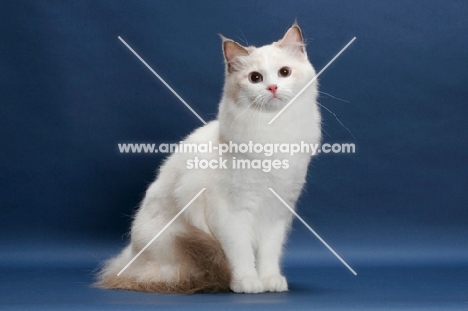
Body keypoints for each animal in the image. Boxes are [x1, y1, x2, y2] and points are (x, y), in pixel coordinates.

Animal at [95, 22, 322, 294]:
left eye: (284, 72)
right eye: (255, 78)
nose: (273, 88)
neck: (274, 131)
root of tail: (126, 260)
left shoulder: (276, 212)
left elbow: (269, 254)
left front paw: (270, 280)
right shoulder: (230, 213)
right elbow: (241, 254)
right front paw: (247, 281)